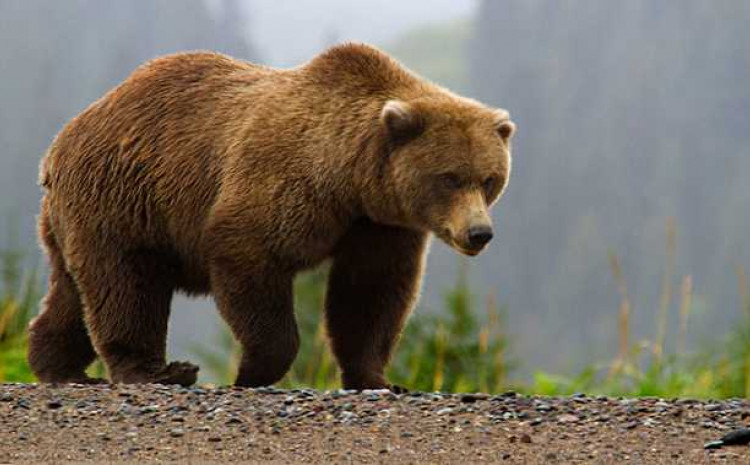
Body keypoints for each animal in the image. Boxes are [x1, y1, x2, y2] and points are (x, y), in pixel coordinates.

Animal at [26, 43, 516, 390]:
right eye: (449, 177)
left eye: (490, 179)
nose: (479, 233)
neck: (350, 178)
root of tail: (61, 141)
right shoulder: (283, 183)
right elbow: (249, 255)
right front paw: (251, 371)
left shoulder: (379, 225)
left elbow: (371, 293)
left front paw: (379, 379)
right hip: (124, 197)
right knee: (125, 284)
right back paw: (157, 371)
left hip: (82, 215)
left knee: (74, 292)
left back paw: (57, 365)